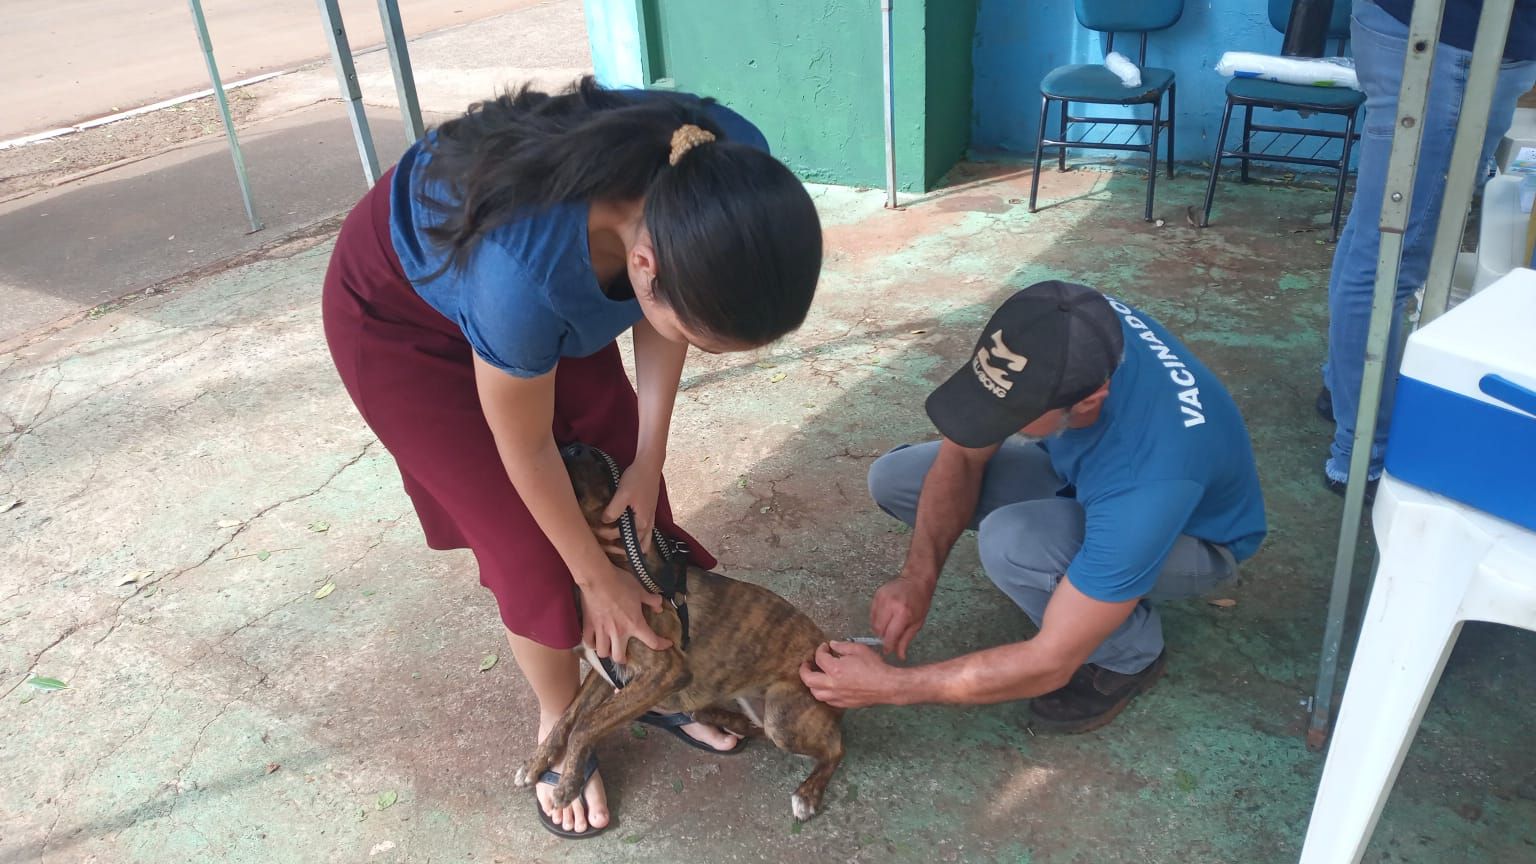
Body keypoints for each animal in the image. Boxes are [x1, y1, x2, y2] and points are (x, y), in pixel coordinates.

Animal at [516, 439, 854, 817]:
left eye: (607, 470)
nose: (572, 444)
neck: (619, 569)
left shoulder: (665, 669)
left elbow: (585, 724)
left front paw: (567, 785)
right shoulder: (606, 665)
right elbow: (568, 716)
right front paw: (536, 763)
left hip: (782, 712)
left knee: (835, 747)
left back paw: (808, 793)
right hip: (757, 705)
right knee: (753, 727)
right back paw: (727, 720)